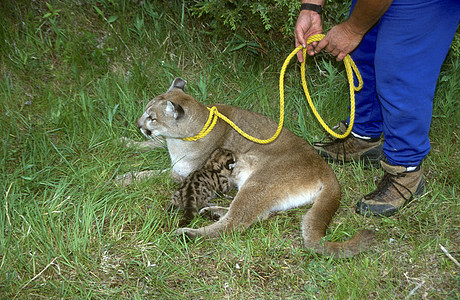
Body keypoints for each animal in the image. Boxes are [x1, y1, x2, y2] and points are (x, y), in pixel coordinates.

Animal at [121, 77, 374, 258]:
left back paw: (189, 233)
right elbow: (153, 142)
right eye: (146, 112)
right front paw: (125, 142)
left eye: (152, 117)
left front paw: (123, 178)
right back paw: (212, 211)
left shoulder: (183, 172)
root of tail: (328, 171)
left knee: (235, 223)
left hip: (259, 182)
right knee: (258, 215)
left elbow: (152, 174)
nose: (138, 123)